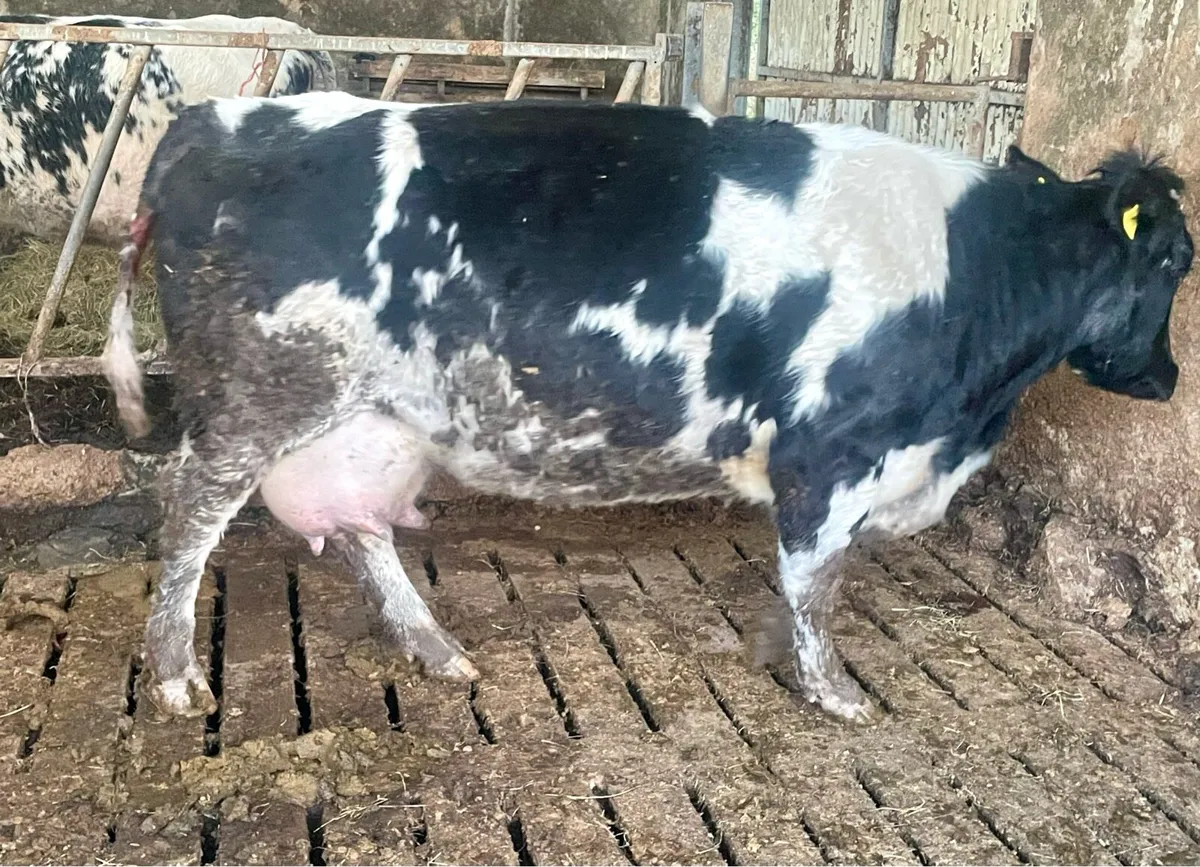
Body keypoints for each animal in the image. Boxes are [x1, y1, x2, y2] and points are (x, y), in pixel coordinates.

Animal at [101, 92, 1193, 723]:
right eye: (1178, 259)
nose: (1166, 380)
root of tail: (209, 116)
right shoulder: (831, 454)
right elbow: (818, 583)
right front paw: (834, 692)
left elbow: (802, 584)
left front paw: (783, 658)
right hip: (258, 396)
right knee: (189, 515)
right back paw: (174, 677)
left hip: (368, 416)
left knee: (361, 527)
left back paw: (437, 650)